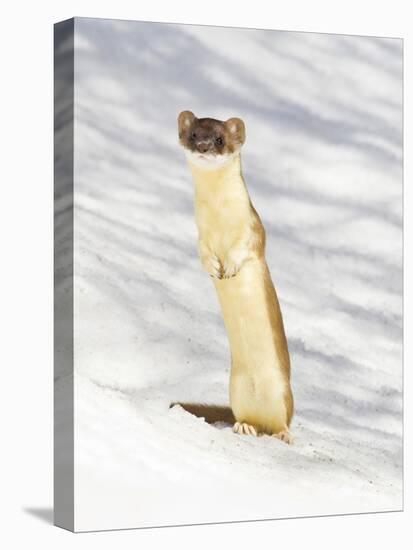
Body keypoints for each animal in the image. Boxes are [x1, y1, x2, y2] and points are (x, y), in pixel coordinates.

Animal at [177, 111, 292, 444]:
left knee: (283, 421)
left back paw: (282, 435)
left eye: (219, 138)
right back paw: (245, 426)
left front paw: (229, 268)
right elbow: (202, 252)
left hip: (283, 392)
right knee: (246, 417)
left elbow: (246, 248)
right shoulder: (200, 235)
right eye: (193, 134)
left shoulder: (253, 229)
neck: (220, 219)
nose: (203, 146)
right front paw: (214, 267)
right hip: (235, 388)